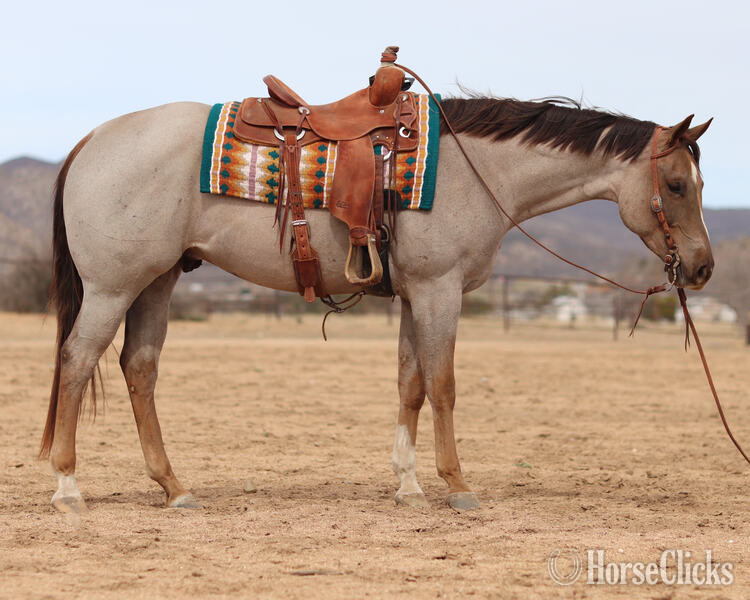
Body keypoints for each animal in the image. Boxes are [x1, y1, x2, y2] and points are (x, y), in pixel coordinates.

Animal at [39, 94, 713, 513]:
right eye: (676, 185)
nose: (703, 267)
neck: (476, 170)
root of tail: (91, 140)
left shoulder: (416, 294)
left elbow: (410, 384)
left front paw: (408, 485)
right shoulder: (440, 291)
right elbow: (443, 385)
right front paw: (457, 484)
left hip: (156, 282)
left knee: (138, 368)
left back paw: (173, 486)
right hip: (113, 287)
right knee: (75, 363)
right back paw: (68, 488)